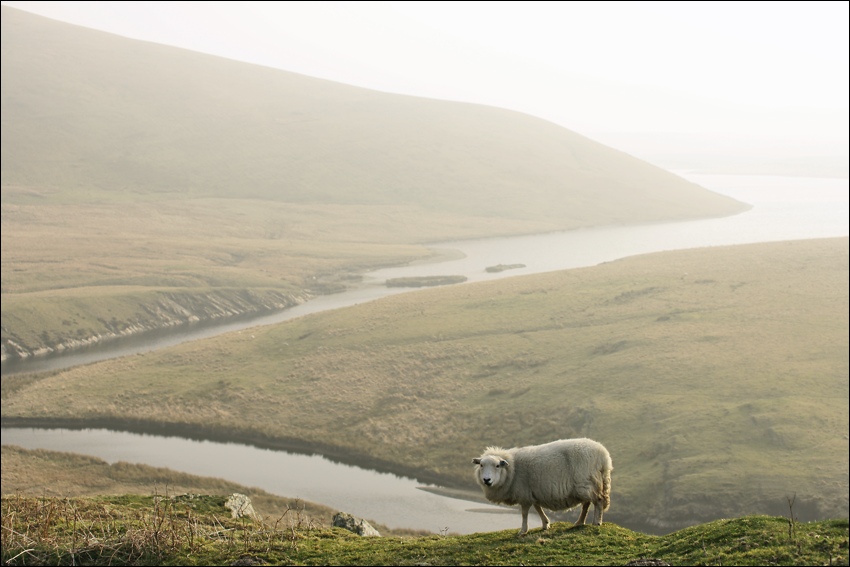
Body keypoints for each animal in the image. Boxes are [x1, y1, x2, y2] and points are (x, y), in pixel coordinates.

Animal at [470, 438, 608, 536]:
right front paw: (545, 524)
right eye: (481, 465)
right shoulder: (532, 492)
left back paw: (597, 522)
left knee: (598, 501)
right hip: (585, 485)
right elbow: (538, 507)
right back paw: (580, 522)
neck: (513, 470)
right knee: (586, 504)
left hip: (586, 482)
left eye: (497, 466)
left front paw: (523, 531)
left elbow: (524, 513)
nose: (486, 480)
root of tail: (604, 456)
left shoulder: (524, 495)